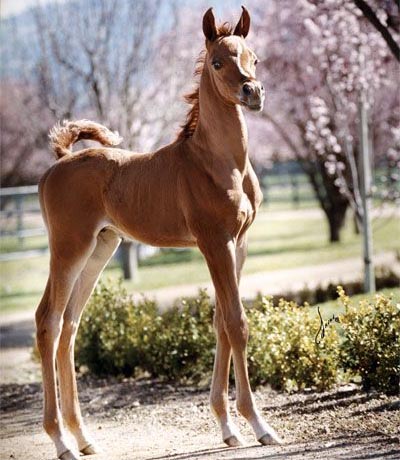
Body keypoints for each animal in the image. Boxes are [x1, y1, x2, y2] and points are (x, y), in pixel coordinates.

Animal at [36, 7, 282, 460]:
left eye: (253, 57)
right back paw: (61, 441)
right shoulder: (214, 243)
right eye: (217, 62)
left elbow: (220, 321)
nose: (253, 92)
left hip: (100, 249)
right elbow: (236, 322)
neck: (218, 163)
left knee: (70, 326)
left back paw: (83, 438)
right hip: (68, 249)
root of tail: (59, 161)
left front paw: (227, 427)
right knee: (48, 321)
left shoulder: (238, 244)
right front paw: (259, 425)